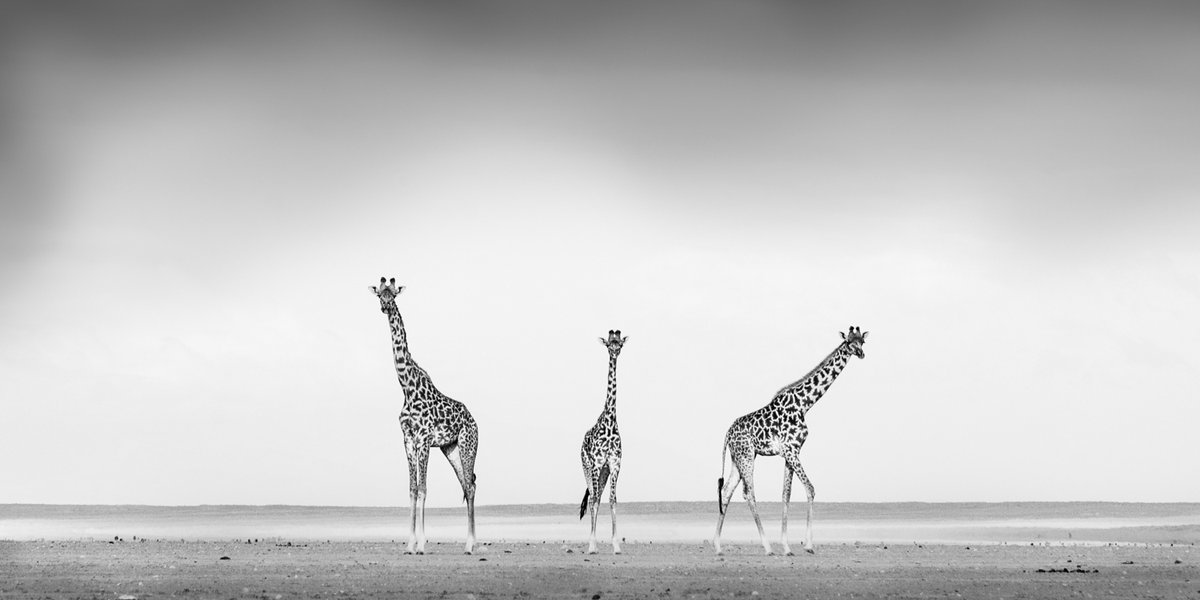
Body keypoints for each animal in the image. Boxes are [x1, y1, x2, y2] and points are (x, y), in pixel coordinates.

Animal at [368, 277, 479, 555]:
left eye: (394, 295)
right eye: (380, 296)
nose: (385, 308)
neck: (406, 387)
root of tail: (474, 420)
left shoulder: (424, 439)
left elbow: (423, 489)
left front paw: (420, 544)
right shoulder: (408, 440)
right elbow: (411, 489)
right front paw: (409, 543)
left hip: (467, 445)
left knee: (471, 485)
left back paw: (470, 544)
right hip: (450, 449)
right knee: (466, 484)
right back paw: (471, 542)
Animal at [713, 326, 869, 556]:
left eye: (862, 341)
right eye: (849, 342)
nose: (861, 353)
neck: (804, 404)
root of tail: (727, 434)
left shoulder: (790, 452)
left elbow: (786, 494)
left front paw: (787, 546)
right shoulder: (791, 450)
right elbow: (810, 489)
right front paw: (808, 545)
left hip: (737, 458)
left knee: (726, 491)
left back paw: (717, 545)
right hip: (747, 456)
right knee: (749, 494)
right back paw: (767, 547)